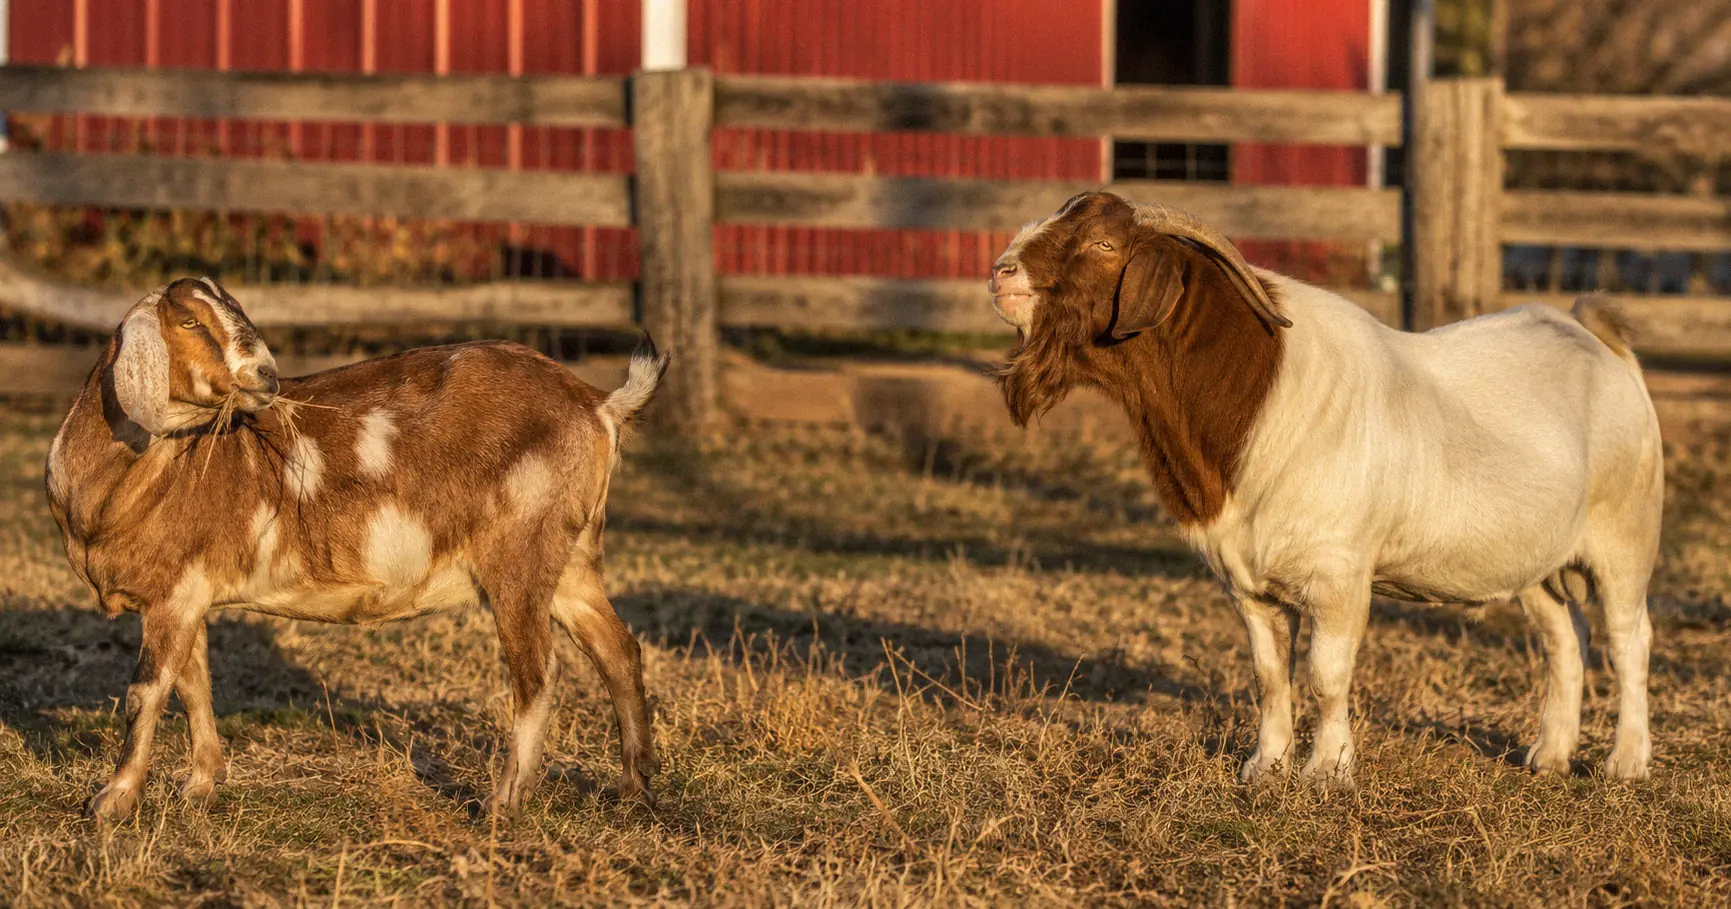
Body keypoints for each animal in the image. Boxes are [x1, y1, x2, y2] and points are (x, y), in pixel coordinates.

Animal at [45, 277, 668, 820]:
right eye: (192, 320)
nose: (267, 376)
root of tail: (599, 405)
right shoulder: (185, 590)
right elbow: (194, 683)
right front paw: (200, 785)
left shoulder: (177, 592)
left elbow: (146, 691)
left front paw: (112, 801)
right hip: (571, 557)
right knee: (617, 650)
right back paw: (634, 788)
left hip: (521, 547)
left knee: (538, 672)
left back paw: (504, 802)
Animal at [989, 191, 1663, 785]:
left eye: (1104, 243)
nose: (1001, 272)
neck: (1258, 399)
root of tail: (1597, 339)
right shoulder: (1249, 585)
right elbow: (1269, 676)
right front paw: (1265, 768)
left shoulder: (1339, 576)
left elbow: (1326, 674)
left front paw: (1328, 772)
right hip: (1537, 565)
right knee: (1565, 639)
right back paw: (1549, 755)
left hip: (1626, 537)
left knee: (1629, 640)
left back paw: (1626, 764)